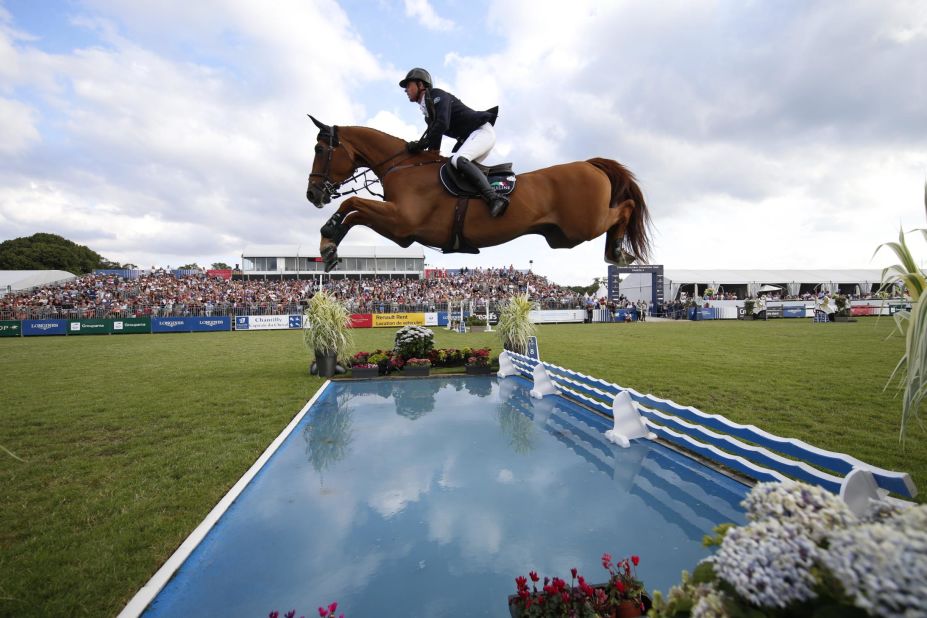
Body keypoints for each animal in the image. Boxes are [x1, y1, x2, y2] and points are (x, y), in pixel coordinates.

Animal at [306, 116, 652, 270]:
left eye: (320, 150)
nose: (313, 195)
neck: (401, 166)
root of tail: (590, 164)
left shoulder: (401, 223)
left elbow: (352, 203)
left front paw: (327, 236)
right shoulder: (400, 230)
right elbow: (353, 213)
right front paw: (329, 247)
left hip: (583, 225)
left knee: (626, 206)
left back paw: (619, 251)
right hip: (563, 237)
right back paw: (618, 252)